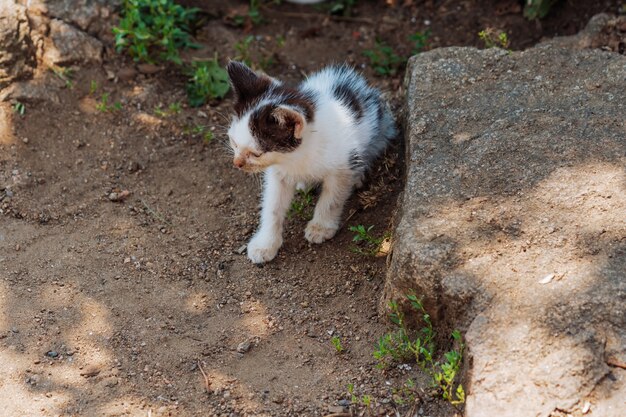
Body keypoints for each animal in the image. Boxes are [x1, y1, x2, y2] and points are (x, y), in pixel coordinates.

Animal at [225, 61, 394, 264]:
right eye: (233, 142)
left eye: (256, 154)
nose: (237, 163)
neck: (297, 156)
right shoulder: (278, 174)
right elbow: (272, 206)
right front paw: (265, 244)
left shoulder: (342, 166)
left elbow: (332, 198)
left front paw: (321, 227)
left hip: (380, 128)